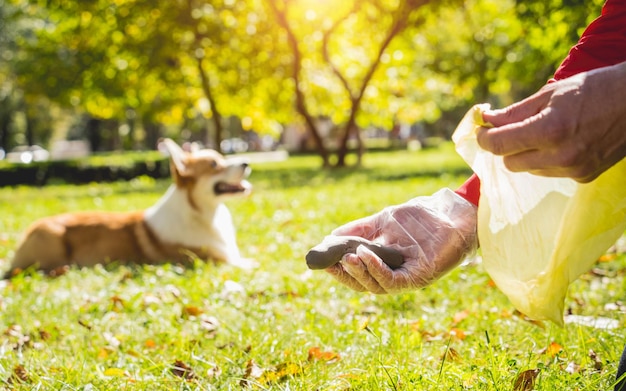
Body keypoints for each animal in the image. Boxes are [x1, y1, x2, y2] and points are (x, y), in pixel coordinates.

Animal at [3, 138, 251, 278]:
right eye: (214, 164)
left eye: (220, 157)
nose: (246, 162)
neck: (202, 214)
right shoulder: (215, 262)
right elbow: (251, 265)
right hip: (51, 238)